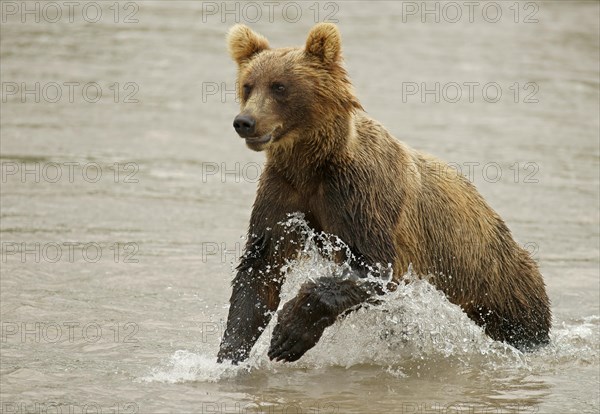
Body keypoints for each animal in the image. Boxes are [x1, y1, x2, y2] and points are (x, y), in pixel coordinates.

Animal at [218, 24, 552, 364]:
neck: (312, 163)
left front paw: (289, 333)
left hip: (495, 279)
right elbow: (260, 268)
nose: (245, 121)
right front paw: (230, 353)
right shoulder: (283, 192)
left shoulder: (359, 194)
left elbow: (375, 267)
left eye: (279, 87)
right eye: (248, 85)